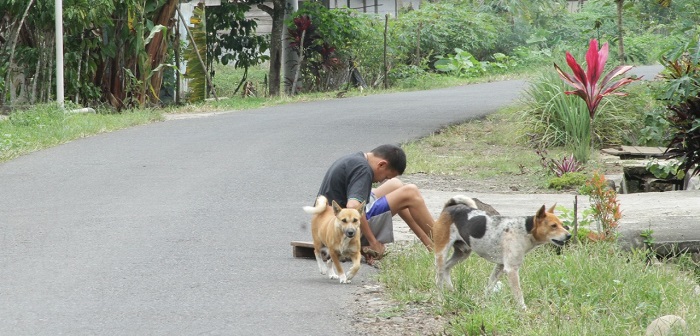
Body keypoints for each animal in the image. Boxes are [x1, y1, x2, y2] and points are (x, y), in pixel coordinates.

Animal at [434, 194, 572, 310]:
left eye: (561, 224)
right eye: (553, 226)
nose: (569, 235)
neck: (525, 230)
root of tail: (450, 207)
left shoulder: (500, 266)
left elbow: (489, 286)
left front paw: (484, 303)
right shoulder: (511, 269)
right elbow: (518, 293)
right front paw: (524, 310)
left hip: (462, 253)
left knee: (447, 268)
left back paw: (452, 291)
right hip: (441, 254)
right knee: (438, 280)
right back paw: (441, 300)